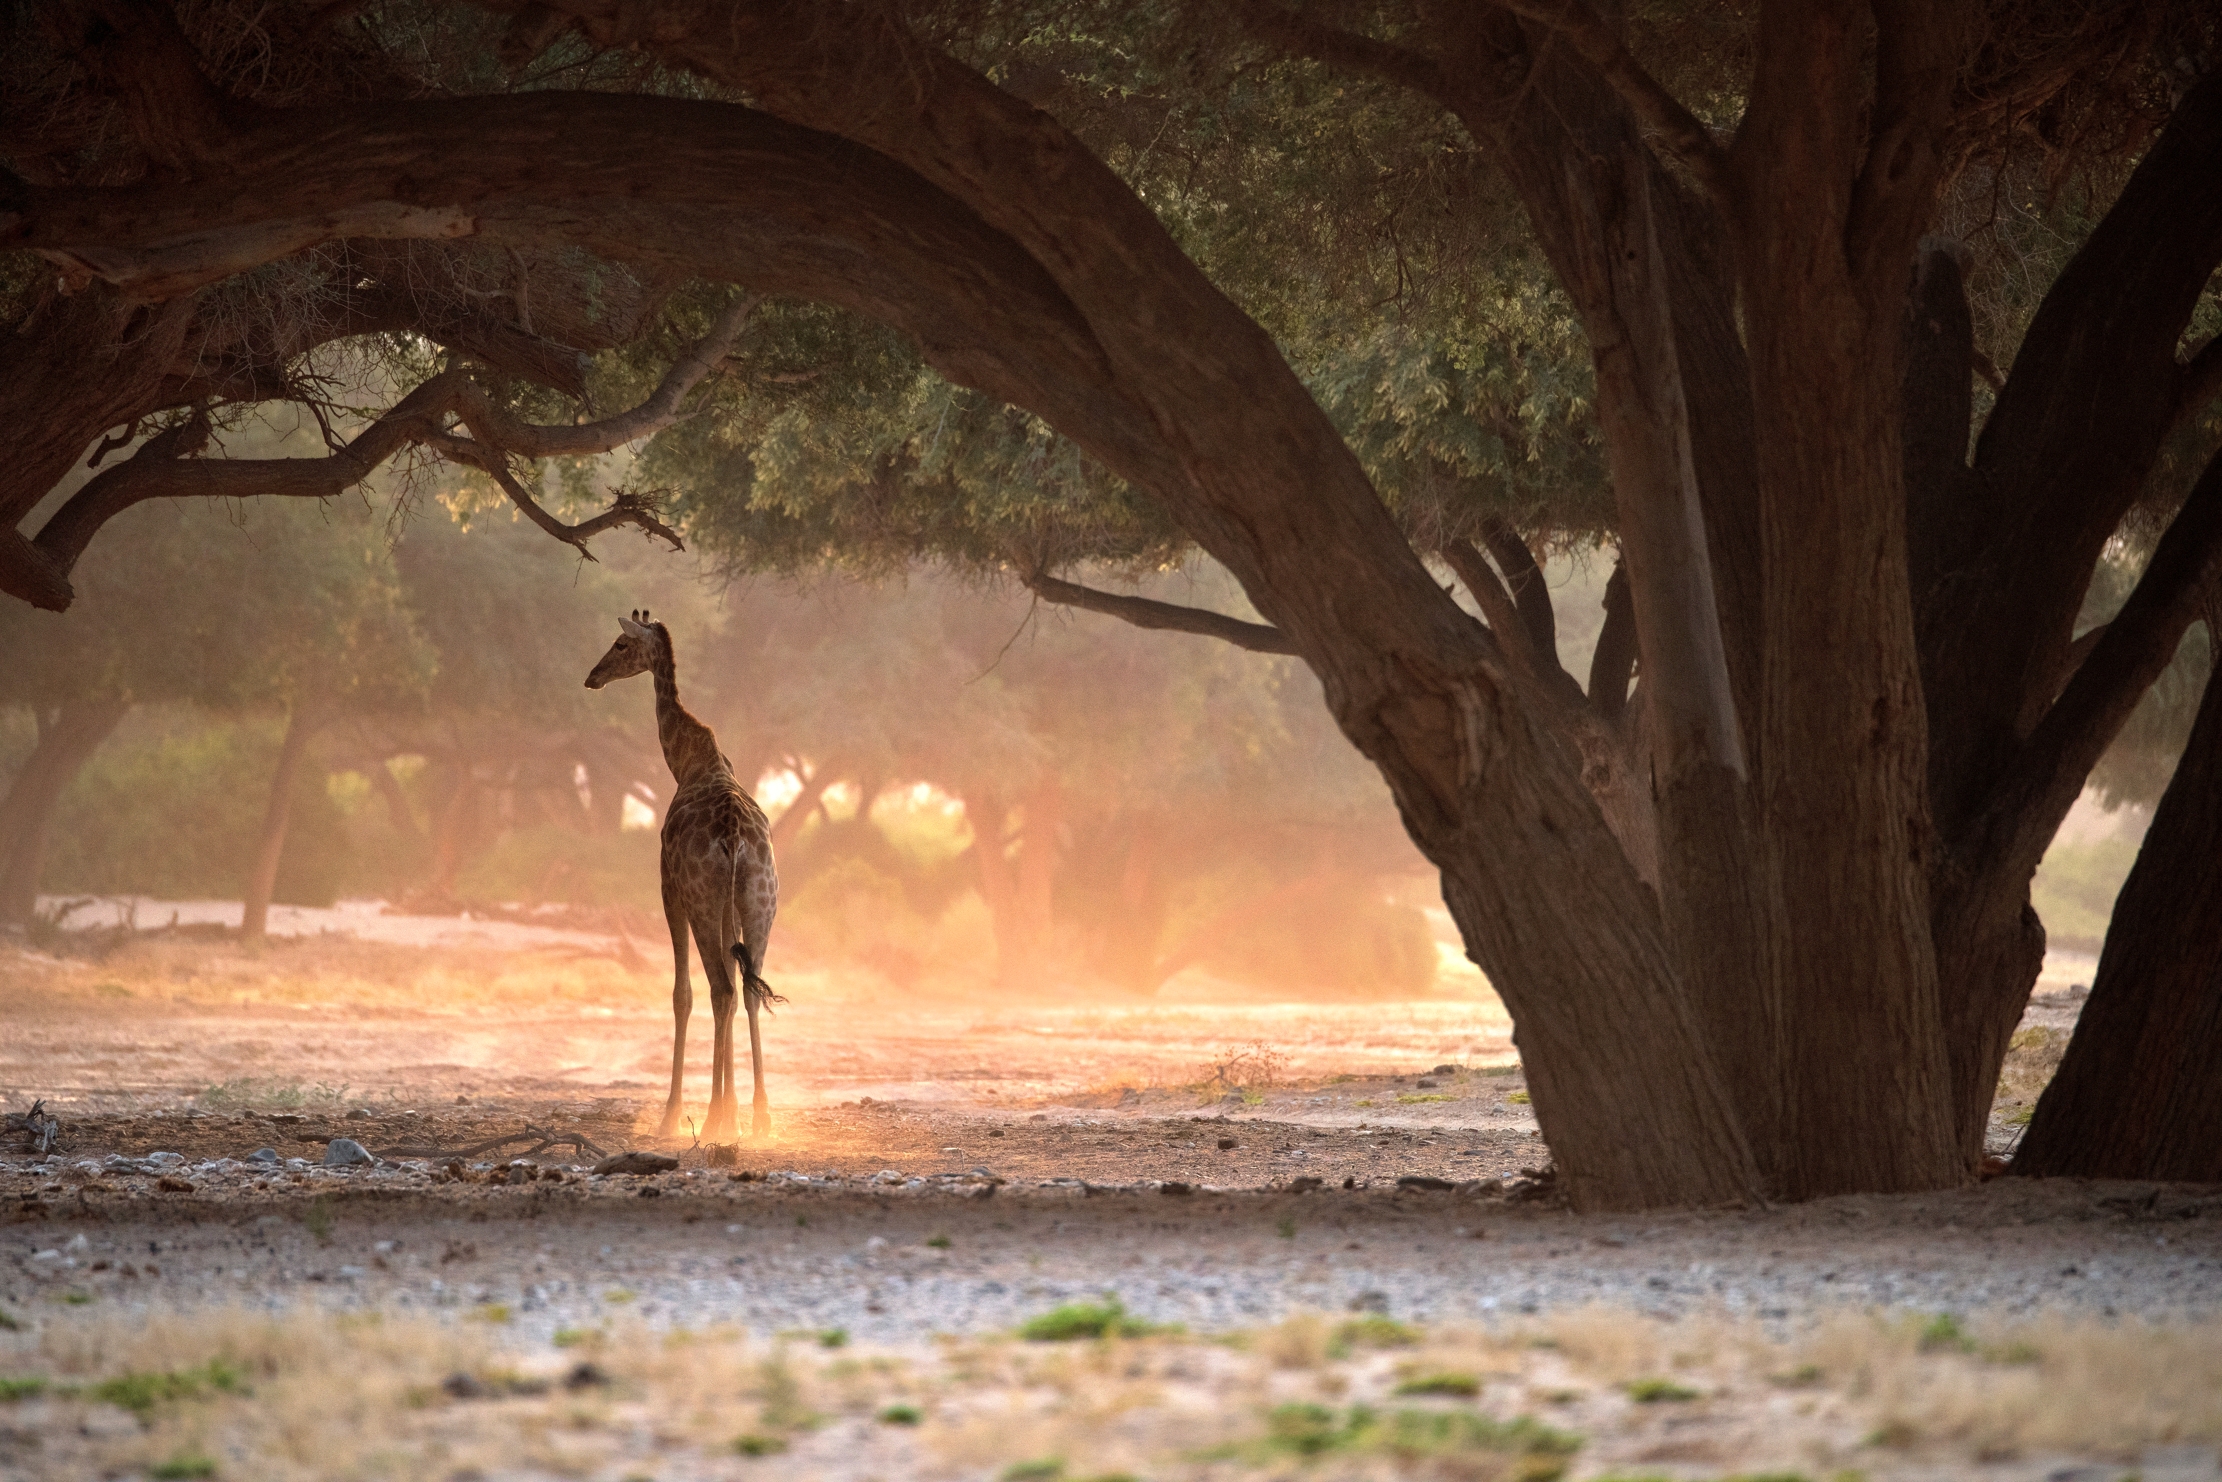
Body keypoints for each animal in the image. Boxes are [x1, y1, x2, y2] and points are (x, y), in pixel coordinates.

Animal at [585, 611, 780, 1142]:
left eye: (621, 643)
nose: (592, 676)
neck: (687, 760)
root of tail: (735, 838)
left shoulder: (667, 886)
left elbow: (681, 995)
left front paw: (673, 1114)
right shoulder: (732, 909)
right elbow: (735, 993)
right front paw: (734, 1111)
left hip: (701, 899)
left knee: (719, 988)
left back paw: (711, 1117)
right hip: (761, 901)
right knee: (746, 990)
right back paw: (759, 1117)